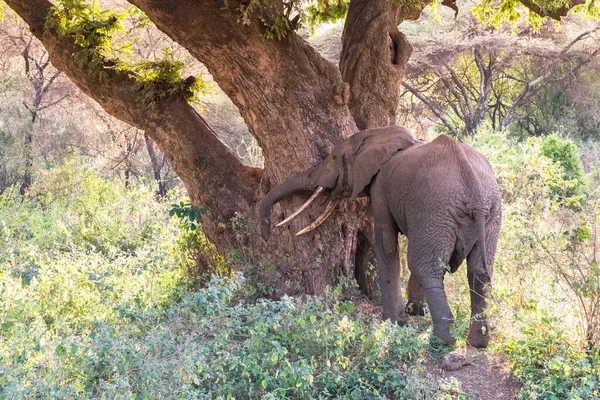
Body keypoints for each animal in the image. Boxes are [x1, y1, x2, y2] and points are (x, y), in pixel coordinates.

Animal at [260, 125, 500, 346]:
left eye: (335, 157)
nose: (265, 234)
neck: (377, 136)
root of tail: (473, 191)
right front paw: (413, 312)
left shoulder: (381, 188)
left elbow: (387, 245)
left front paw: (392, 323)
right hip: (491, 214)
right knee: (479, 272)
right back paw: (477, 343)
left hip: (437, 210)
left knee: (424, 267)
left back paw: (441, 341)